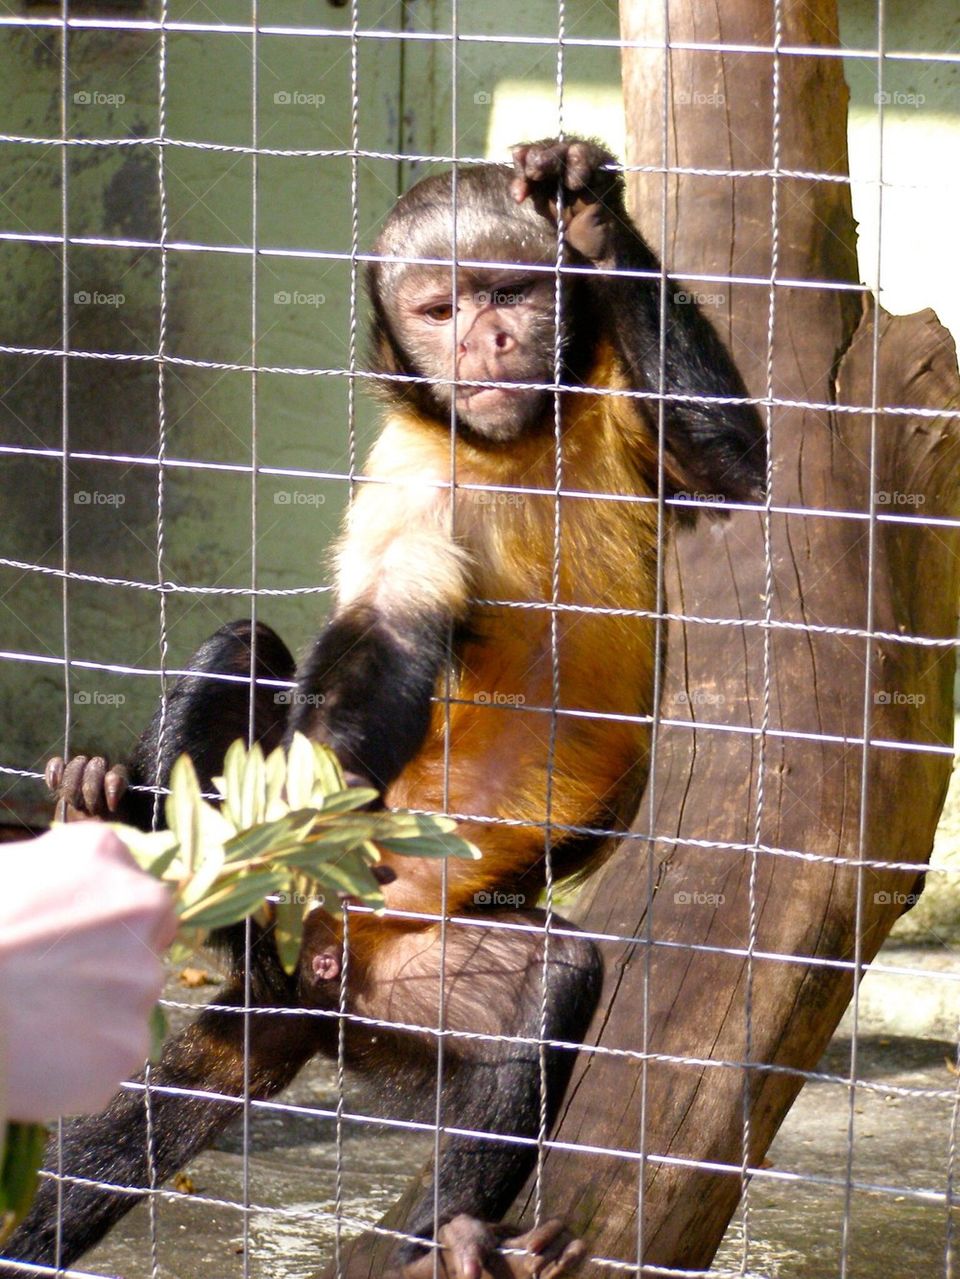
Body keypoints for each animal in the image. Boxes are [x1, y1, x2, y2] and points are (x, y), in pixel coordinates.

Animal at [5, 138, 764, 1278]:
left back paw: (452, 1242)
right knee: (247, 651)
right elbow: (382, 641)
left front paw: (587, 207)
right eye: (439, 307)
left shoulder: (621, 408)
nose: (490, 338)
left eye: (508, 293)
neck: (509, 441)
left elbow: (736, 472)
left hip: (390, 982)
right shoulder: (409, 479)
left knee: (546, 983)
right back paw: (149, 842)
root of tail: (309, 978)